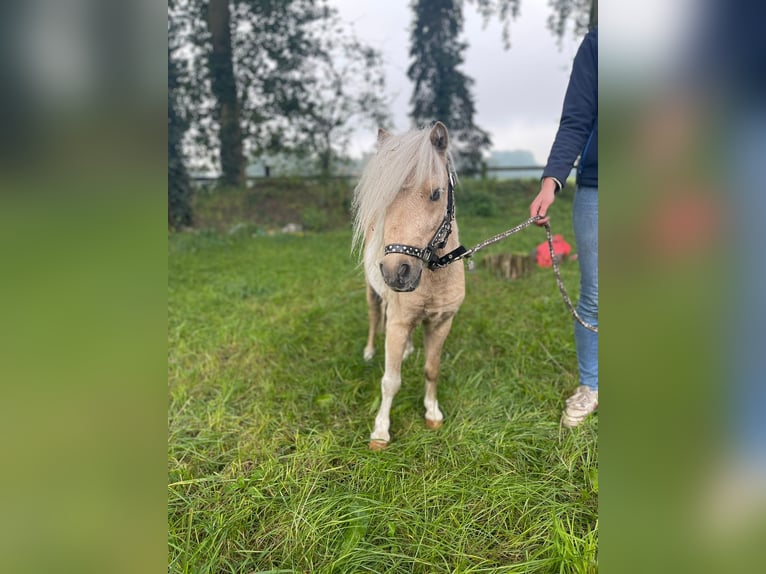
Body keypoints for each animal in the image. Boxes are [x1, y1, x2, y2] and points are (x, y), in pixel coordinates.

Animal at [352, 124, 464, 452]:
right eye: (384, 197)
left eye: (436, 193)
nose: (396, 272)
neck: (434, 275)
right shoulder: (398, 323)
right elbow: (390, 381)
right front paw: (380, 432)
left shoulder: (441, 322)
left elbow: (431, 369)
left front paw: (432, 413)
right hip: (372, 292)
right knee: (375, 318)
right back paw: (369, 352)